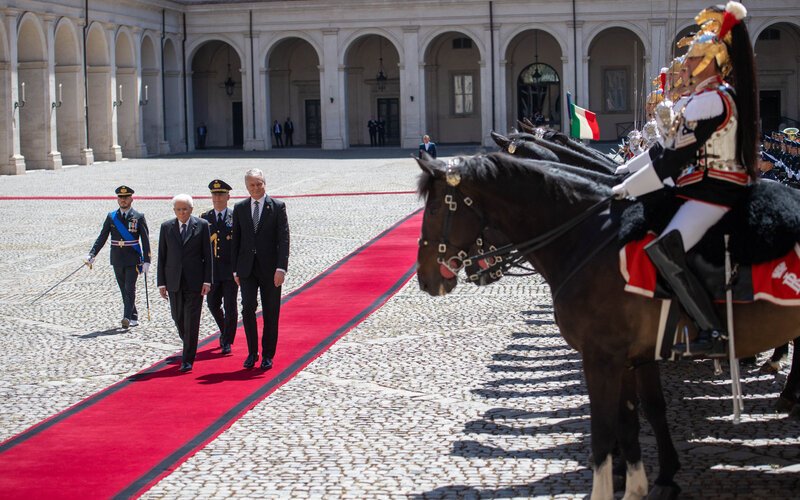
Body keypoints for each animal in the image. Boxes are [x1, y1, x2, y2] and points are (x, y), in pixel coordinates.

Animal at [416, 152, 796, 500]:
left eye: (433, 210)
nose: (424, 279)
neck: (588, 240)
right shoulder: (631, 358)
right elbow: (633, 420)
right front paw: (643, 483)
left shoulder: (602, 357)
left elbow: (603, 429)